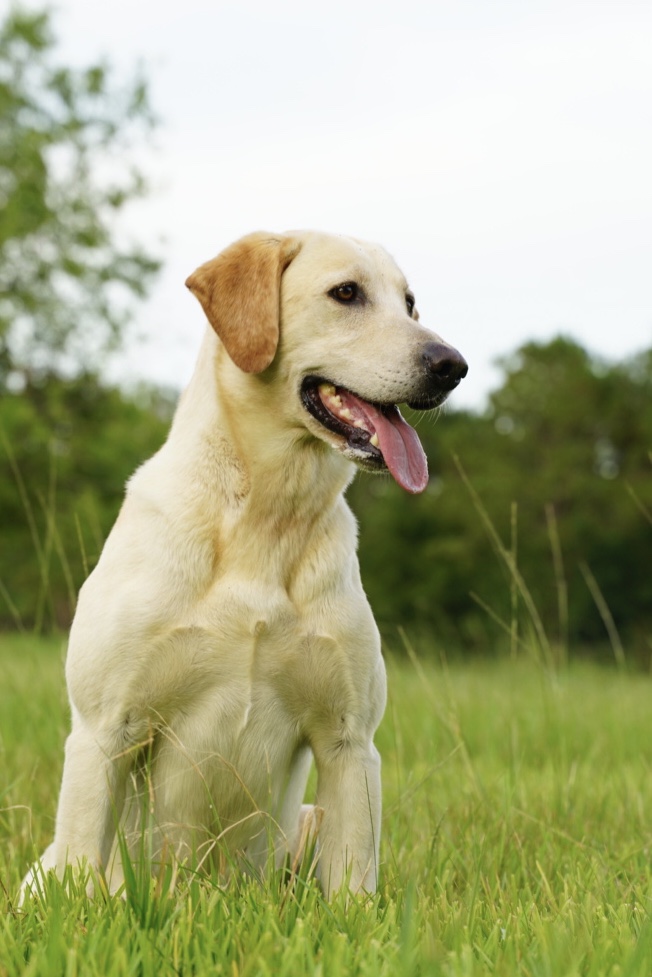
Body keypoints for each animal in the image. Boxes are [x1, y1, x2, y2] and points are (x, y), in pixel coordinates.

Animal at [21, 231, 468, 900]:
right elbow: (82, 874)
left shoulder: (349, 741)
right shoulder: (105, 731)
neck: (266, 517)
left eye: (410, 303)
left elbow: (353, 887)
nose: (452, 365)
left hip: (307, 821)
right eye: (346, 293)